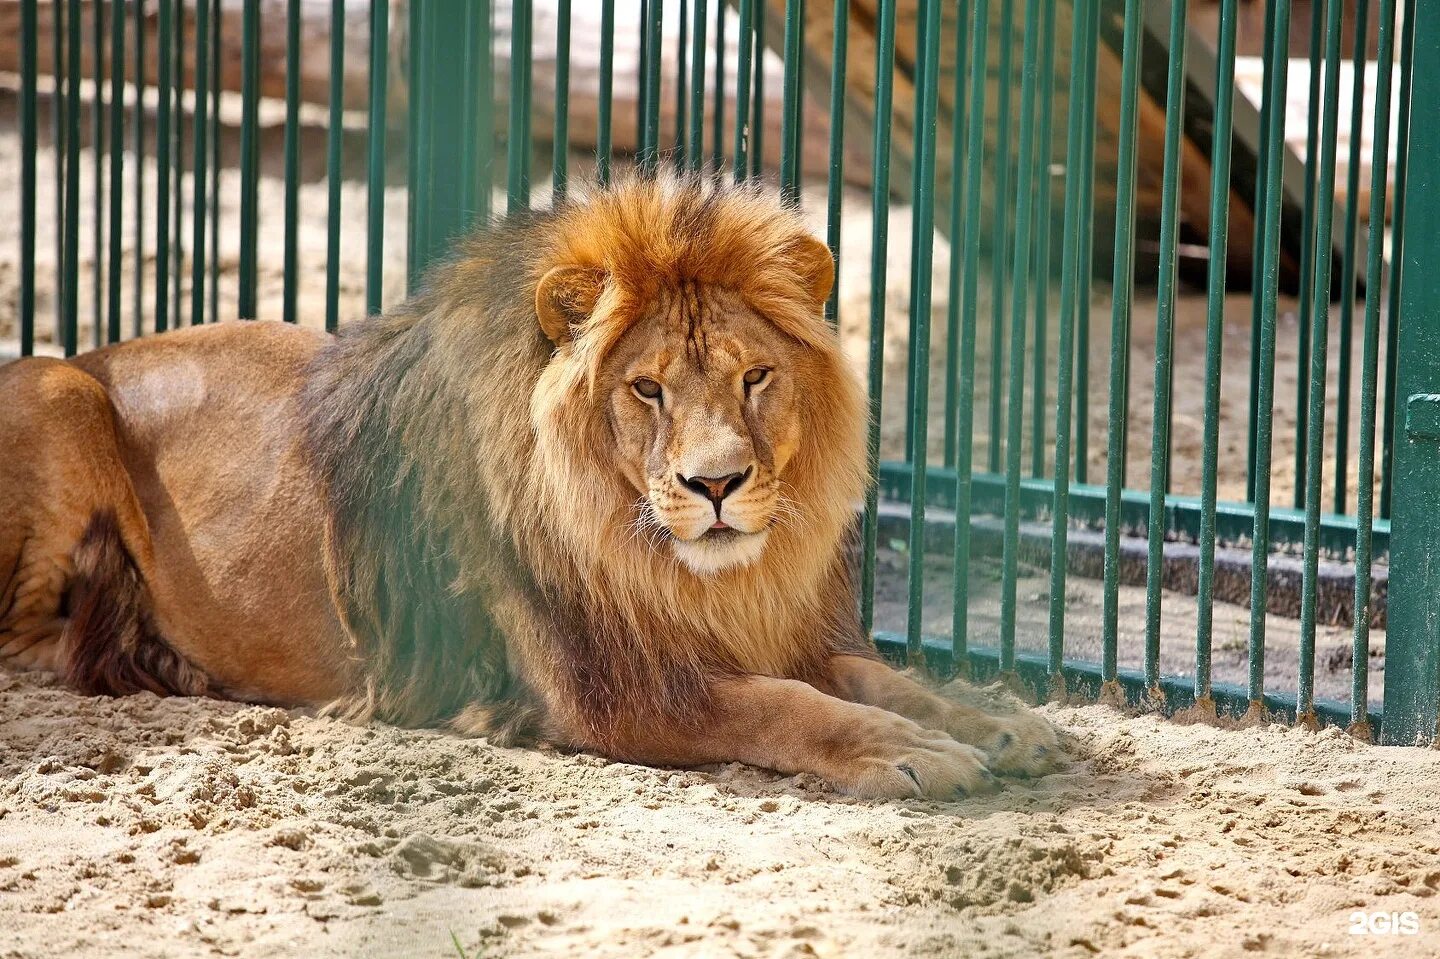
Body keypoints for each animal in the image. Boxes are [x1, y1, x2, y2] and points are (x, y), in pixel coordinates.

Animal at [0, 169, 1059, 789]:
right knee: (33, 641)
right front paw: (908, 752)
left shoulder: (763, 629)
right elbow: (785, 705)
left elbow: (879, 675)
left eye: (756, 376)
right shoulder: (612, 692)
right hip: (60, 390)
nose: (718, 485)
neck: (671, 568)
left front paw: (995, 723)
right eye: (646, 388)